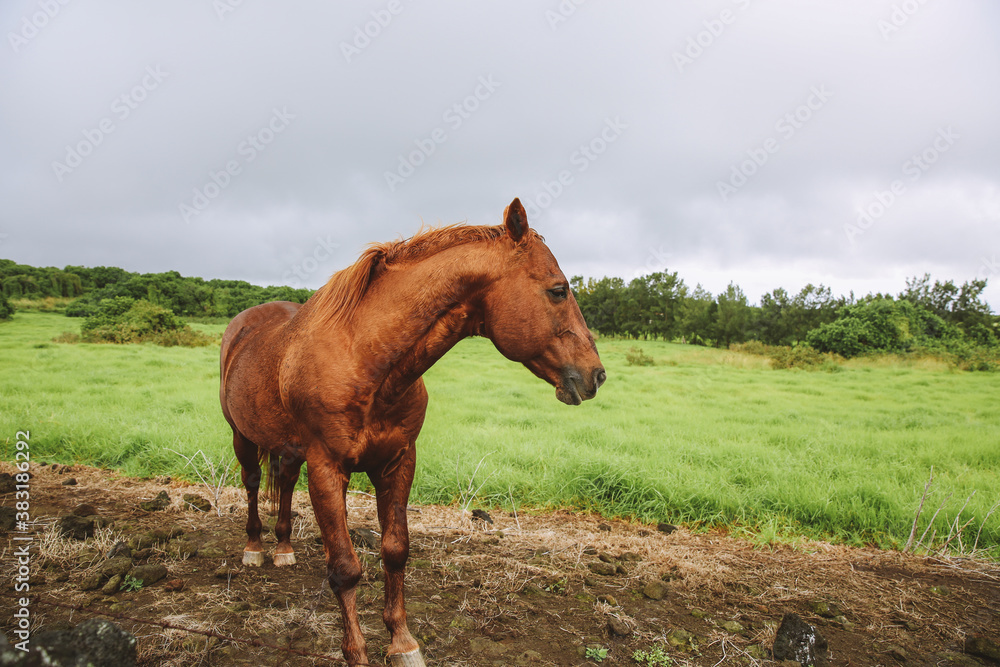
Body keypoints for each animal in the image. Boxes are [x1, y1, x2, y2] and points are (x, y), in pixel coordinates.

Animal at [219, 198, 606, 666]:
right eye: (558, 289)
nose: (597, 374)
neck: (366, 362)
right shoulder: (327, 467)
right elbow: (345, 568)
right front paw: (357, 653)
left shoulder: (398, 461)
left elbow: (395, 551)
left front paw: (403, 644)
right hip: (243, 438)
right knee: (253, 483)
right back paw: (255, 549)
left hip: (290, 451)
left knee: (285, 484)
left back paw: (283, 549)